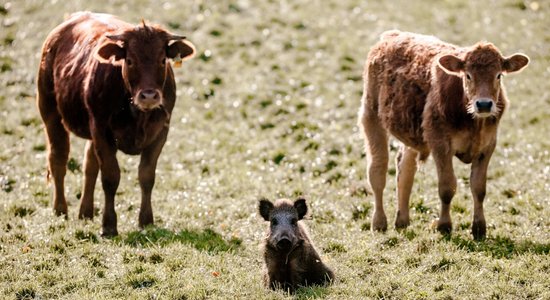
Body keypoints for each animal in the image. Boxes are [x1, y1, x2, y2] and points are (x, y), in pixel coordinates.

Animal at [37, 11, 196, 236]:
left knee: (89, 165)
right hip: (50, 112)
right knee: (58, 159)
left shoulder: (160, 132)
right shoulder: (102, 131)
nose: (149, 96)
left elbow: (147, 176)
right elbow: (111, 178)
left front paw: (146, 221)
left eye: (162, 59)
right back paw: (60, 210)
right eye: (129, 60)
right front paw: (109, 225)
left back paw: (85, 212)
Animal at [358, 30, 532, 239]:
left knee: (405, 169)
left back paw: (402, 220)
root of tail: (391, 35)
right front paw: (444, 225)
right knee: (377, 172)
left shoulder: (487, 145)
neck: (474, 122)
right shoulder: (440, 144)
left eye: (498, 75)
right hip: (371, 116)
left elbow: (479, 188)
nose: (483, 104)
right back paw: (379, 222)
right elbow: (447, 187)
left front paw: (479, 228)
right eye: (468, 75)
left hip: (411, 135)